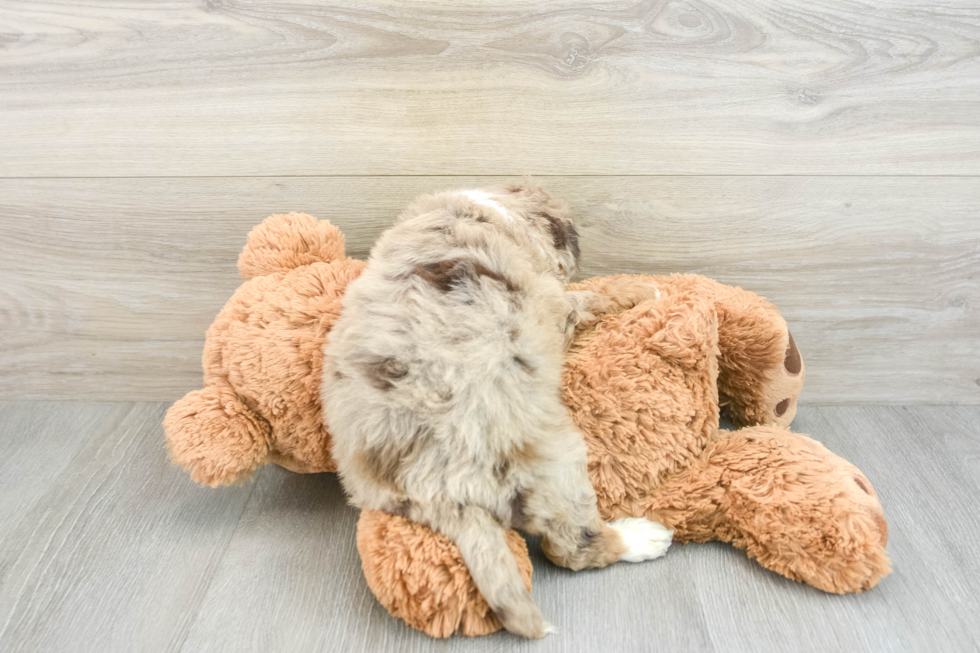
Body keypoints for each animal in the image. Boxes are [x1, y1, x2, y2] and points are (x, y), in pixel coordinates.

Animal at [326, 180, 668, 636]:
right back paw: (642, 538)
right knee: (572, 548)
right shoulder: (558, 306)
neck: (490, 211)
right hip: (557, 464)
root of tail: (438, 490)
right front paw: (642, 289)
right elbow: (591, 294)